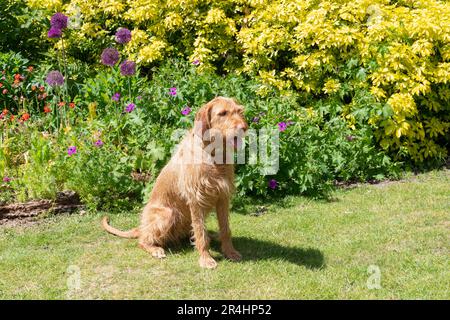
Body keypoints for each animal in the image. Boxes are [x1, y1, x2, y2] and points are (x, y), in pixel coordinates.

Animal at [102, 96, 248, 268]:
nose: (244, 128)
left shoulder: (223, 197)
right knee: (143, 240)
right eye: (223, 113)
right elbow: (200, 232)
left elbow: (225, 229)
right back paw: (155, 249)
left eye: (239, 111)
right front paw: (206, 258)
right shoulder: (196, 200)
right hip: (168, 214)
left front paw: (230, 252)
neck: (212, 154)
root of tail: (142, 227)